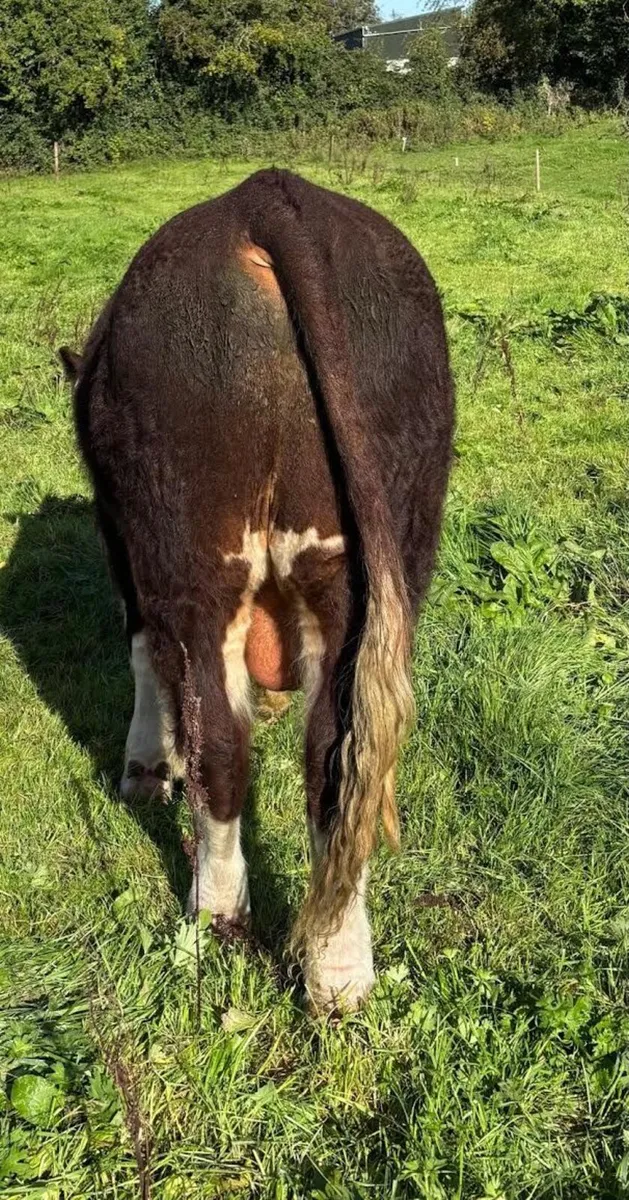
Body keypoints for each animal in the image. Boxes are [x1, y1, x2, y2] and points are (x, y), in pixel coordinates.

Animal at [59, 168, 454, 1011]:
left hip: (194, 554)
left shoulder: (124, 542)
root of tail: (265, 197)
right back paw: (338, 972)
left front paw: (147, 769)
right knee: (334, 756)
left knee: (221, 745)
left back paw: (216, 917)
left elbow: (144, 656)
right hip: (364, 564)